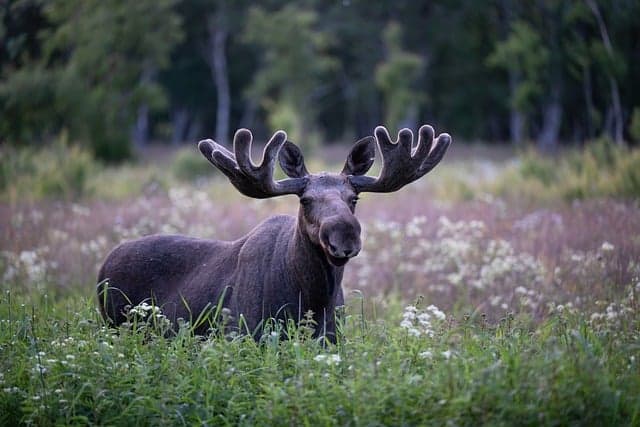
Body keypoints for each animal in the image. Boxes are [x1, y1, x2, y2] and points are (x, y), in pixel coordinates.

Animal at [97, 125, 451, 343]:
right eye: (305, 200)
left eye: (354, 198)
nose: (345, 237)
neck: (312, 301)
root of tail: (103, 267)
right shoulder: (242, 335)